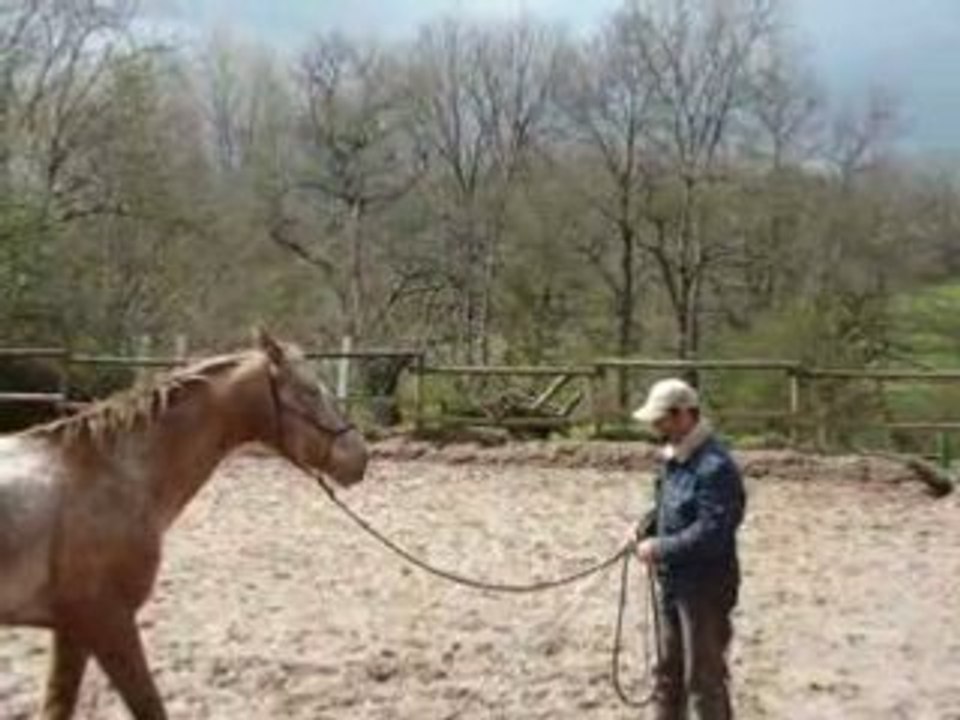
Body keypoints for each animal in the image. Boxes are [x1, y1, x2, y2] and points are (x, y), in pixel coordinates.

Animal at [0, 331, 369, 719]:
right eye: (310, 390)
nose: (360, 456)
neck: (112, 474)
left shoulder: (72, 629)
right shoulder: (106, 620)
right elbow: (149, 706)